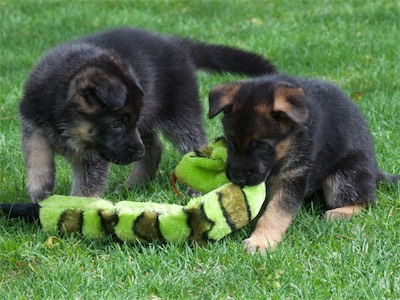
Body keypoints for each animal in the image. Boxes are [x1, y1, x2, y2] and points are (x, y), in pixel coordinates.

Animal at [20, 28, 276, 203]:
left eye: (124, 122)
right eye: (117, 124)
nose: (137, 153)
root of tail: (177, 45)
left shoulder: (95, 156)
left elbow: (87, 186)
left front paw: (73, 211)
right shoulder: (32, 123)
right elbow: (36, 151)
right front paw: (39, 187)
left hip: (179, 115)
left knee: (192, 144)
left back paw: (192, 186)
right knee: (155, 147)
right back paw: (134, 184)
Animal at [209, 73, 400, 253]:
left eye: (262, 146)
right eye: (231, 141)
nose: (238, 179)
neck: (291, 138)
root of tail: (375, 170)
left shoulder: (294, 176)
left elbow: (275, 213)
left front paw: (261, 240)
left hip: (343, 177)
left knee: (367, 200)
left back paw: (341, 212)